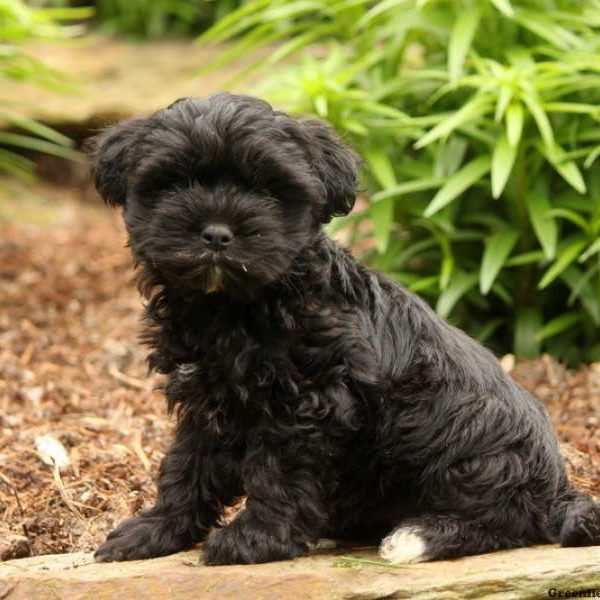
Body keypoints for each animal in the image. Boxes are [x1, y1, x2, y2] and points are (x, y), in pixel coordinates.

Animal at [90, 92, 600, 564]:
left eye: (269, 191)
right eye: (176, 183)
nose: (216, 232)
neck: (234, 307)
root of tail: (558, 489)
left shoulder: (309, 403)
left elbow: (277, 472)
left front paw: (254, 540)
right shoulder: (208, 399)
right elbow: (186, 467)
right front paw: (154, 531)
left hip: (477, 450)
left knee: (505, 520)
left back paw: (417, 536)